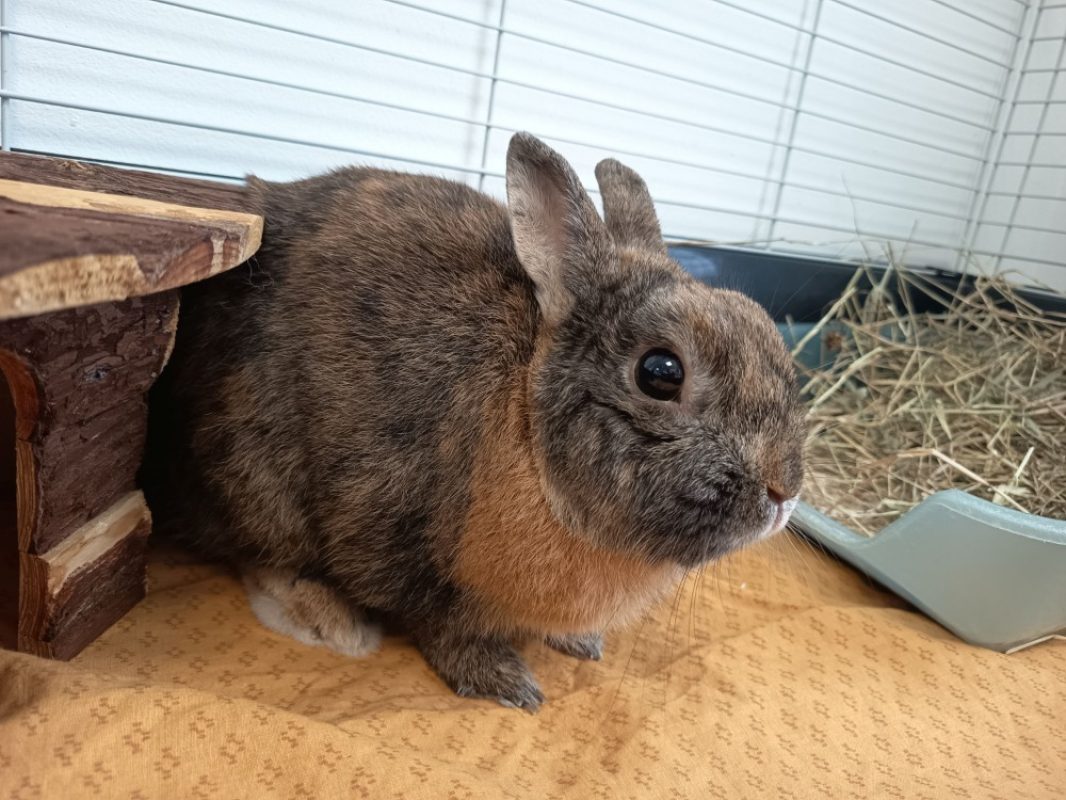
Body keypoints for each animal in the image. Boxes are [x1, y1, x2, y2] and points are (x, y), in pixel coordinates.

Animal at [143, 133, 805, 710]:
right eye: (661, 373)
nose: (784, 494)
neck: (526, 428)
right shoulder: (396, 533)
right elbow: (443, 626)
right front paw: (506, 683)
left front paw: (579, 643)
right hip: (254, 475)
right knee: (261, 553)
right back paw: (332, 624)